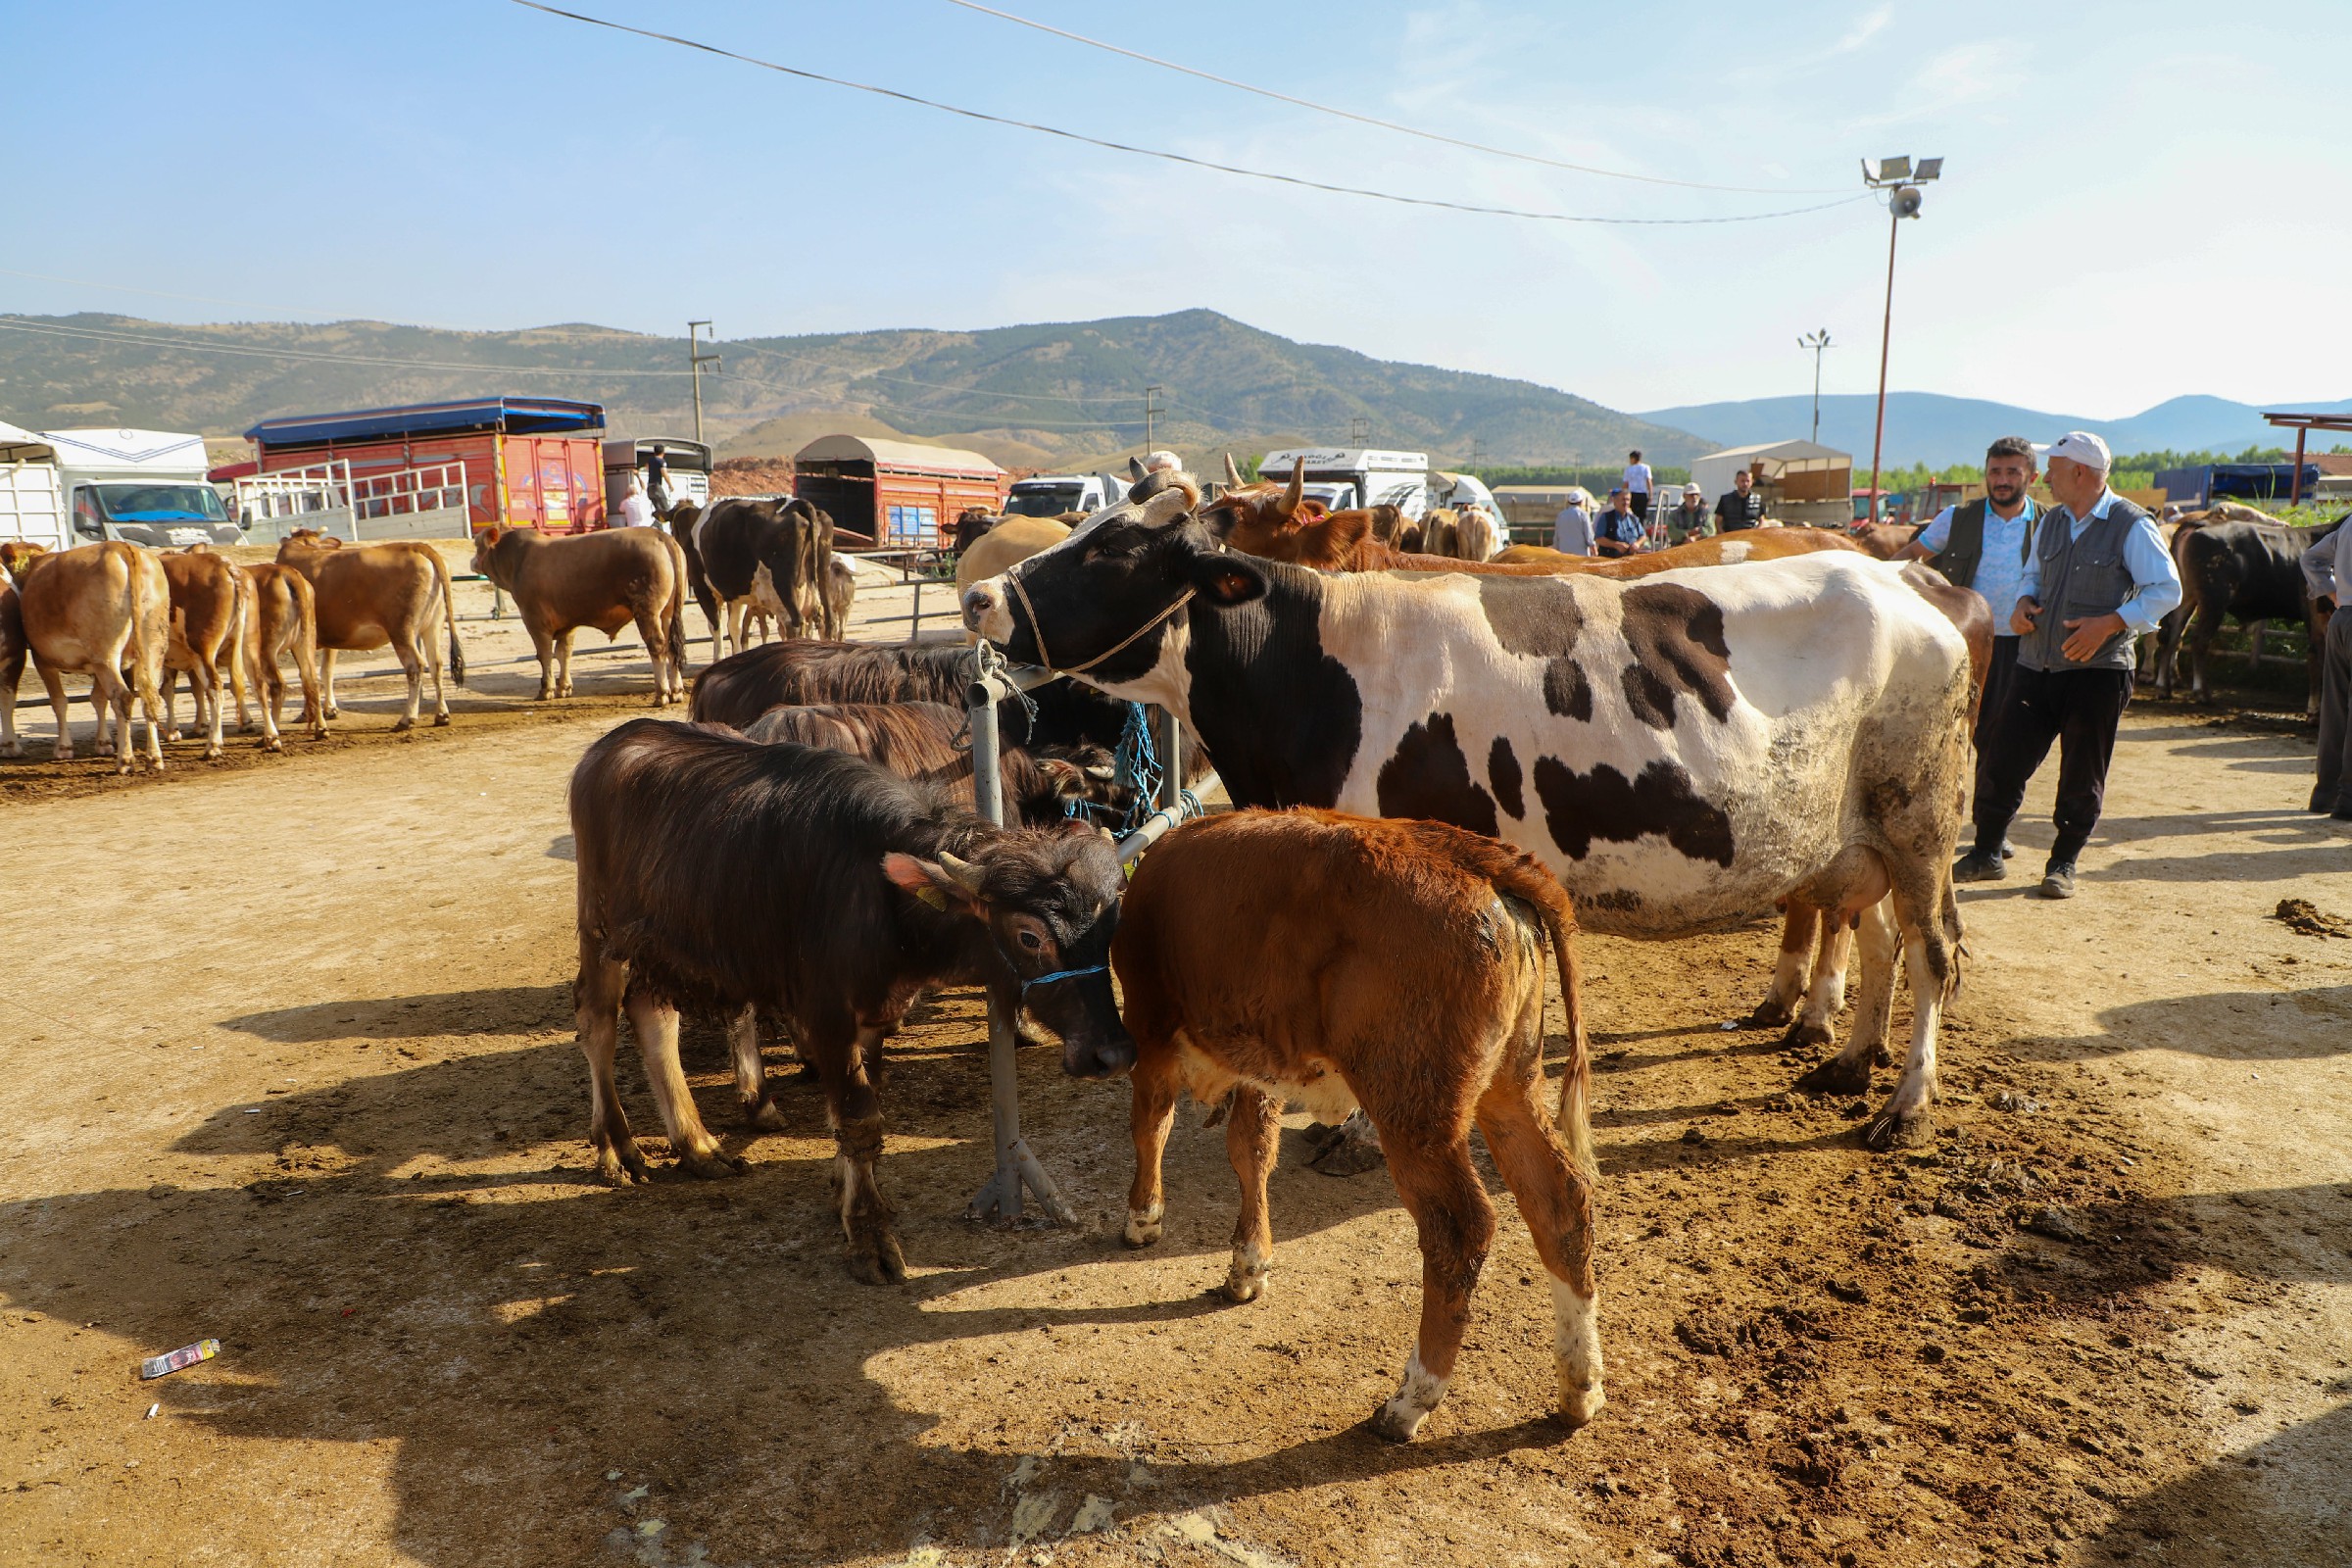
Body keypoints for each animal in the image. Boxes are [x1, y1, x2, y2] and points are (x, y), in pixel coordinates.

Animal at [0, 543, 171, 775]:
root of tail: (121, 547)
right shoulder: (95, 665)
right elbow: (98, 699)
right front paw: (104, 743)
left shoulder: (43, 659)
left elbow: (59, 702)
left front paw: (64, 747)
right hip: (151, 646)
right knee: (149, 695)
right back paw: (154, 758)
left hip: (106, 654)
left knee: (123, 697)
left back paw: (125, 760)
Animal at [274, 526, 463, 723]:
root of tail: (416, 546)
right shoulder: (332, 635)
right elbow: (327, 670)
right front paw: (330, 709)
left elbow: (306, 673)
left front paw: (306, 713)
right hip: (434, 624)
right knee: (436, 664)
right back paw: (442, 714)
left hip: (402, 629)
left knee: (415, 666)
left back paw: (408, 717)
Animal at [467, 523, 686, 700]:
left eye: (477, 543)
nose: (472, 561)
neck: (518, 560)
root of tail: (661, 535)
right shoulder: (568, 621)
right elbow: (563, 652)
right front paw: (564, 687)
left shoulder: (535, 621)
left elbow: (544, 655)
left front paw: (546, 689)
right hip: (667, 613)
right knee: (672, 647)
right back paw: (676, 691)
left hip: (647, 611)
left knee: (657, 646)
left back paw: (662, 693)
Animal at [964, 472, 1976, 1147]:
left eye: (1111, 549)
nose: (976, 594)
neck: (1312, 669)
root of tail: (1902, 581)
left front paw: (1356, 1132)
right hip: (1856, 836)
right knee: (1880, 940)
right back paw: (1850, 1061)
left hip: (1922, 820)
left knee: (1931, 952)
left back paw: (1905, 1102)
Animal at [1114, 817, 1599, 1439]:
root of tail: (1470, 851)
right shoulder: (1259, 1062)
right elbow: (1251, 1150)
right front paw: (1248, 1262)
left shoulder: (1148, 1030)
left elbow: (1151, 1124)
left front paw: (1142, 1218)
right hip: (1510, 1086)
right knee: (1558, 1200)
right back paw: (1579, 1388)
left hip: (1412, 1110)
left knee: (1459, 1229)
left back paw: (1410, 1400)